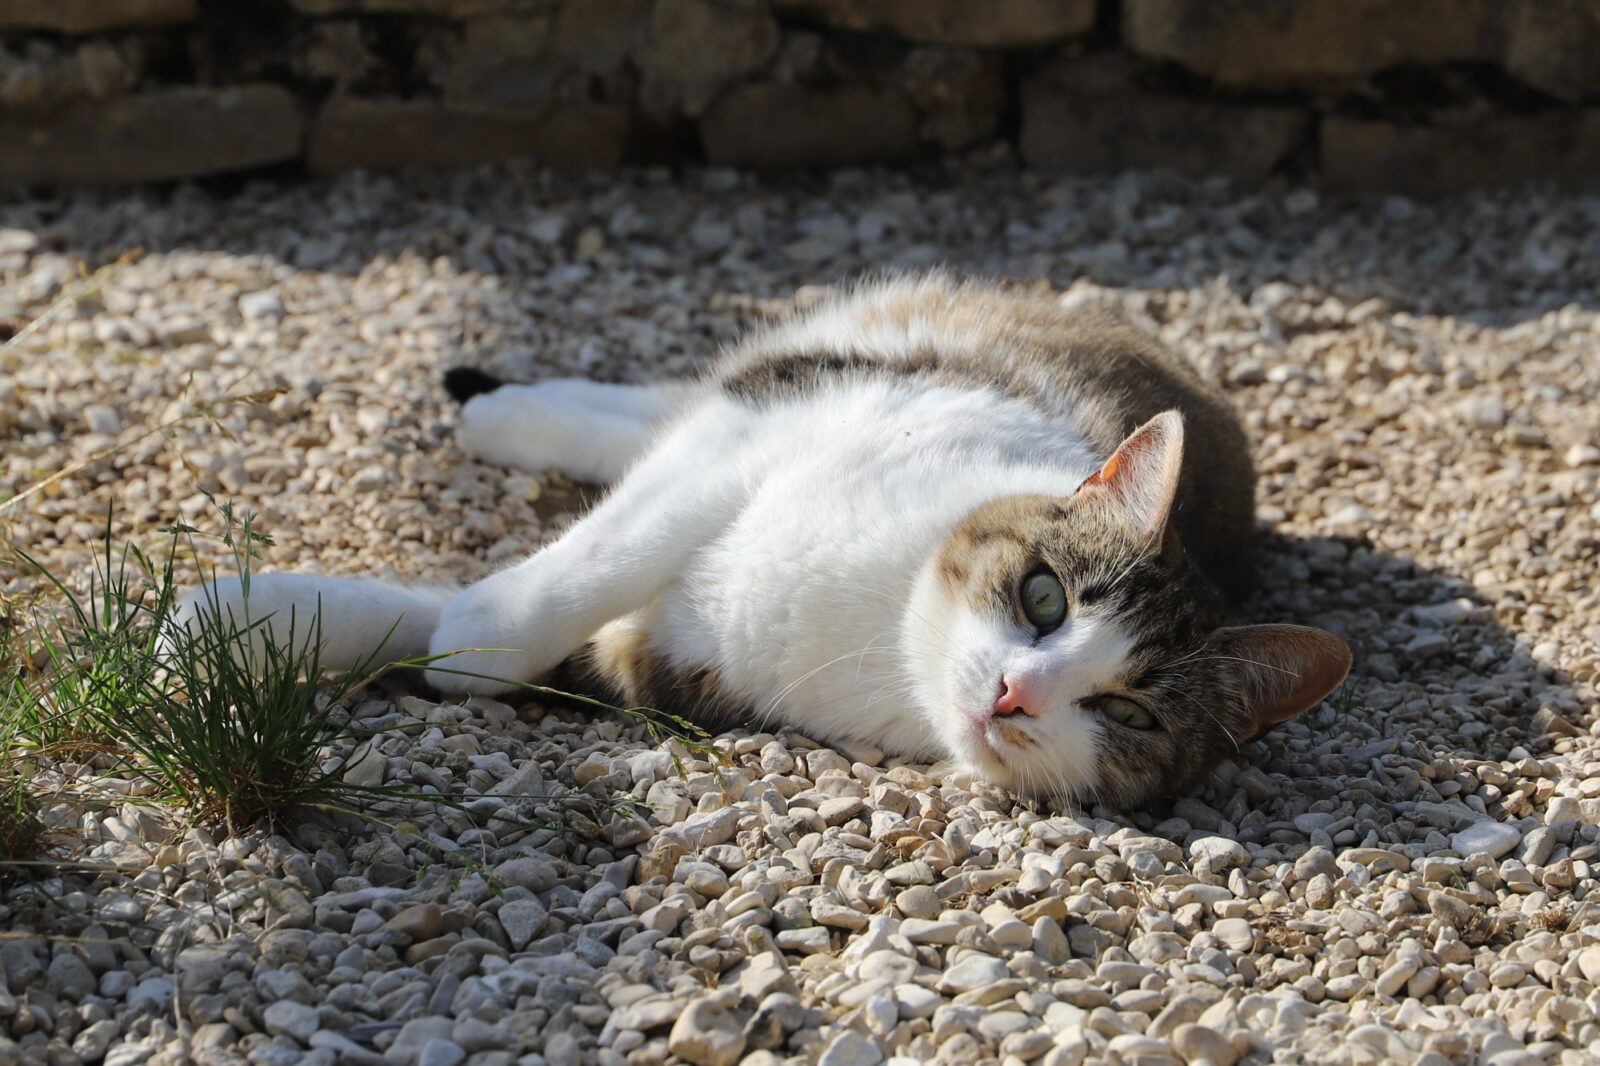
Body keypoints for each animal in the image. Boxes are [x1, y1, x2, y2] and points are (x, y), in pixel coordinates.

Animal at [175, 275, 1350, 806]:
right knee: (660, 414)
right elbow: (598, 555)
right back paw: (500, 409)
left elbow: (442, 627)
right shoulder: (758, 440)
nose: (1017, 696)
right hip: (847, 362)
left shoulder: (653, 663)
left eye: (1127, 713)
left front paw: (260, 625)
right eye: (1046, 596)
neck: (882, 620)